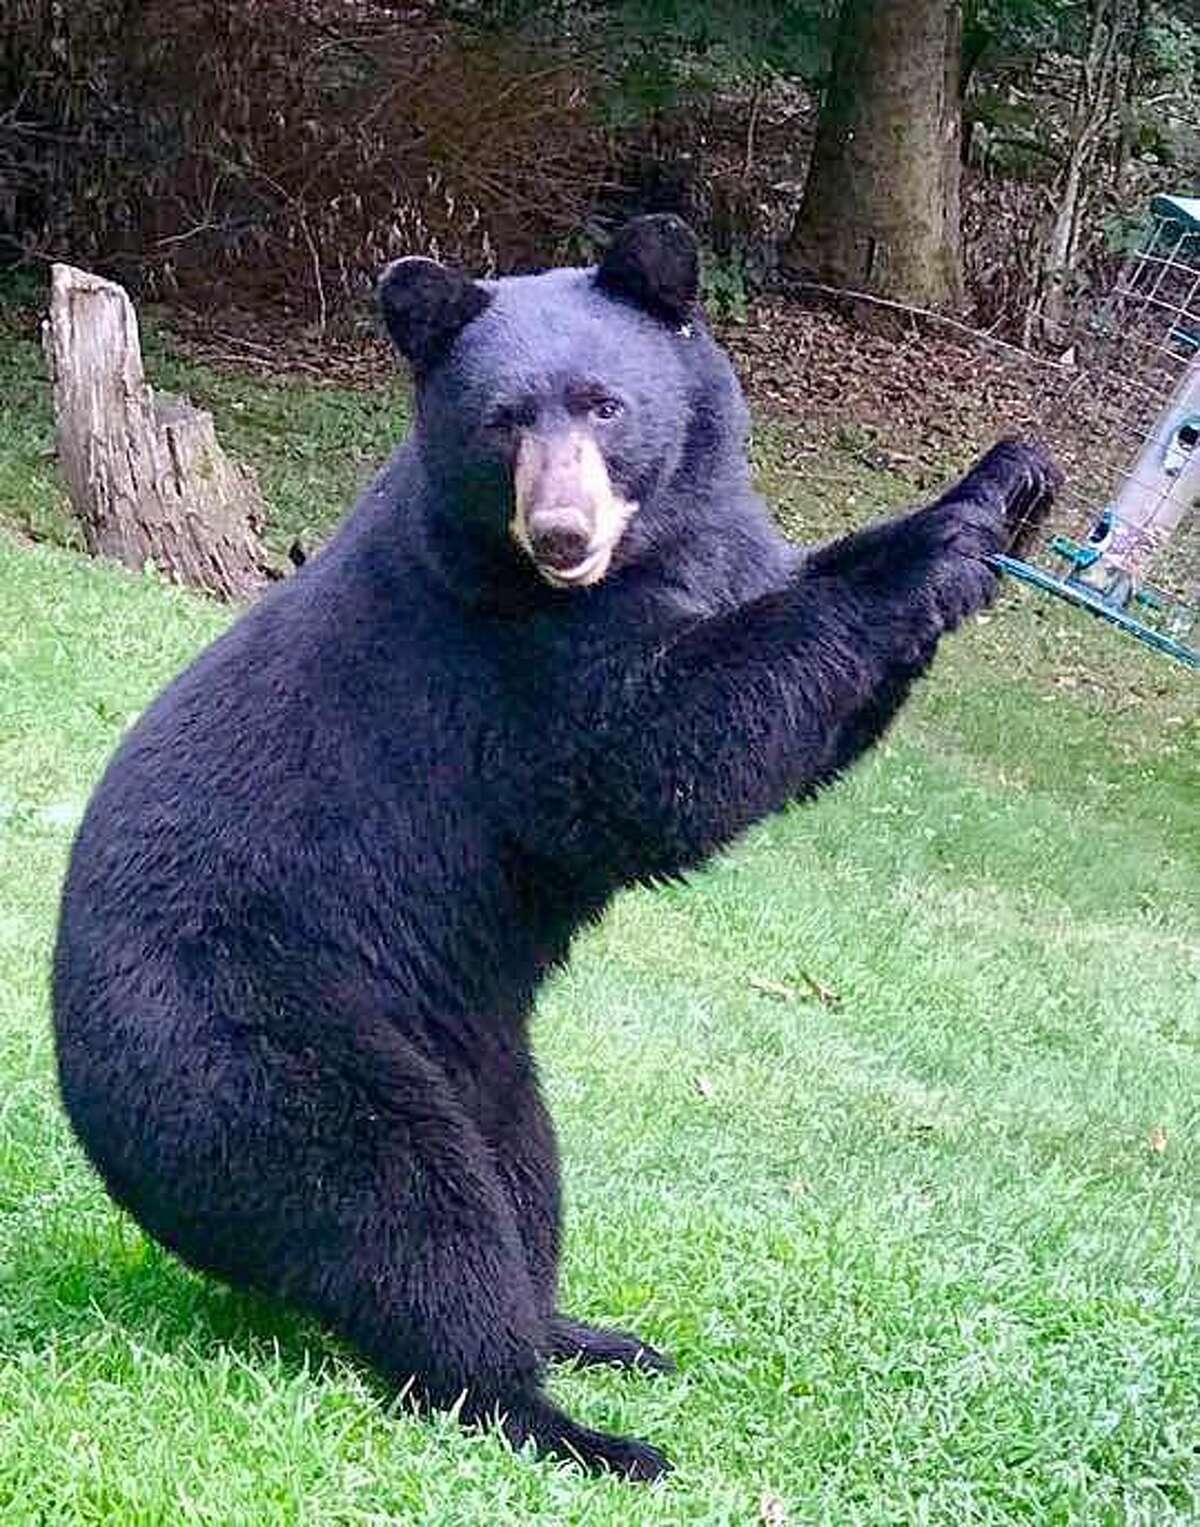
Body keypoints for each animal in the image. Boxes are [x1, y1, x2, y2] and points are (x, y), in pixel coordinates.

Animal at [51, 212, 1050, 1478]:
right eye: (502, 421)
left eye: (604, 404)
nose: (560, 532)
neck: (642, 555)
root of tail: (88, 1112)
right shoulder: (507, 662)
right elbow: (662, 757)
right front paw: (944, 531)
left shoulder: (709, 554)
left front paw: (1015, 484)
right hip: (265, 1047)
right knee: (410, 1223)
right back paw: (569, 1423)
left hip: (489, 1063)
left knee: (525, 1189)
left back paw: (586, 1334)